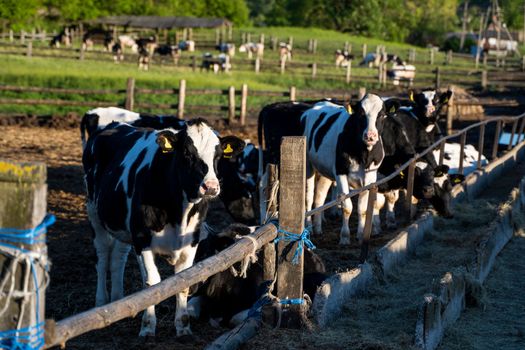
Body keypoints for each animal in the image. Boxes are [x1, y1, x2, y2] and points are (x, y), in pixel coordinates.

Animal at [83, 119, 244, 336]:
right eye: (186, 153)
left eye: (217, 156)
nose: (210, 187)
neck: (180, 213)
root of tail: (114, 124)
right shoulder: (142, 239)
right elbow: (152, 283)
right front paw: (148, 326)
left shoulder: (191, 242)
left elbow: (183, 283)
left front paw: (183, 327)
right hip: (94, 213)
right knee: (101, 258)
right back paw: (102, 302)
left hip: (123, 225)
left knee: (118, 258)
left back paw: (117, 301)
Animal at [256, 94, 398, 245]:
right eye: (361, 114)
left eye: (381, 114)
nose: (370, 136)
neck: (363, 154)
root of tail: (272, 106)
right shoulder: (340, 173)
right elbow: (347, 207)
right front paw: (344, 237)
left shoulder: (370, 178)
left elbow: (362, 208)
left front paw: (360, 235)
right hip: (279, 158)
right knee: (277, 188)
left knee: (318, 196)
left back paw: (317, 228)